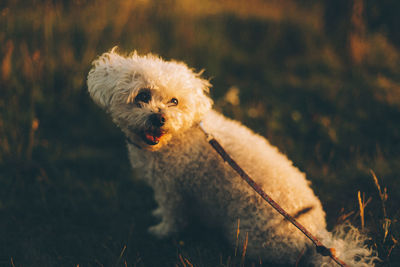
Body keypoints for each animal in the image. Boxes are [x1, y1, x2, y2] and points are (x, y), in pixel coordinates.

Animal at [87, 48, 378, 266]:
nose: (159, 118)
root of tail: (317, 239)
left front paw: (161, 231)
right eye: (143, 95)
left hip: (245, 237)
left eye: (174, 102)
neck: (180, 137)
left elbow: (173, 218)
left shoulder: (172, 190)